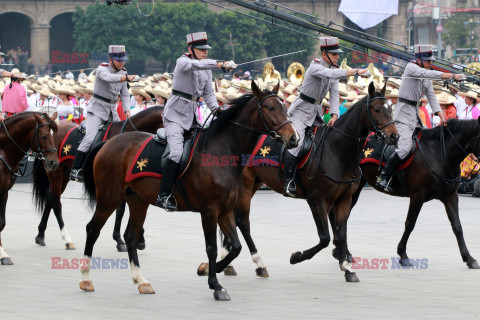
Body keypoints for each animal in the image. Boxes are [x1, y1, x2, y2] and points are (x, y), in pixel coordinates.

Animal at [0, 112, 59, 264]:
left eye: (53, 135)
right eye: (43, 136)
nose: (54, 162)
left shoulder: (4, 193)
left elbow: (1, 223)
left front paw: (2, 254)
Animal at [31, 107, 164, 250]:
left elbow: (124, 210)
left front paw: (136, 237)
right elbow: (121, 210)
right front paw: (121, 239)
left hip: (64, 176)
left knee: (50, 200)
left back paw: (40, 234)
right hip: (55, 173)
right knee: (55, 202)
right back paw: (64, 239)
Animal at [79, 82, 296, 300]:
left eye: (285, 108)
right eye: (271, 108)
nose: (294, 138)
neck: (221, 152)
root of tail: (108, 143)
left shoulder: (225, 211)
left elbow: (235, 246)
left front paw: (210, 269)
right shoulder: (209, 210)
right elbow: (212, 247)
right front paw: (215, 284)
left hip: (138, 201)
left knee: (130, 237)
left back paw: (141, 280)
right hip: (109, 197)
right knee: (92, 229)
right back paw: (86, 278)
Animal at [213, 81, 398, 282]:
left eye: (390, 109)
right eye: (377, 109)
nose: (394, 136)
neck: (337, 150)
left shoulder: (344, 200)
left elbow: (341, 233)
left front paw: (347, 267)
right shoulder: (317, 200)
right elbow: (324, 238)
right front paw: (297, 257)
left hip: (253, 183)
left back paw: (230, 260)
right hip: (246, 187)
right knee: (243, 222)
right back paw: (258, 263)